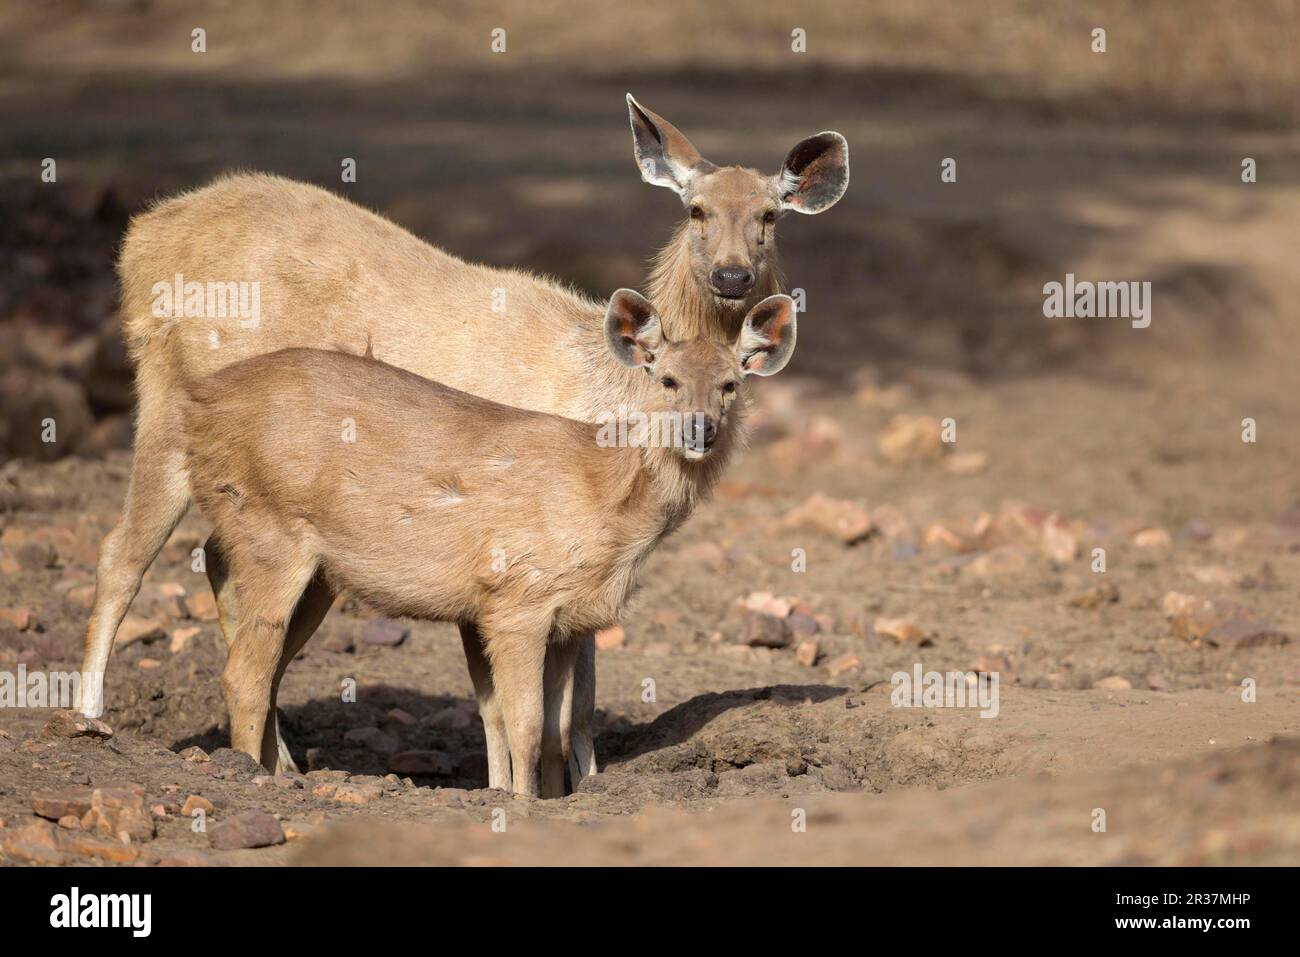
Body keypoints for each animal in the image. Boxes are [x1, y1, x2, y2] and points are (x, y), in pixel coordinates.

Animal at [179, 289, 795, 790]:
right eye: (666, 379)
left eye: (731, 384)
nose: (700, 428)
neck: (605, 498)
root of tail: (199, 404)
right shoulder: (516, 598)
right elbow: (524, 723)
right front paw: (521, 803)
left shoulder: (566, 616)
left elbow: (554, 726)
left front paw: (548, 796)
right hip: (270, 529)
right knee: (244, 671)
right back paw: (252, 775)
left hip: (315, 569)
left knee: (259, 652)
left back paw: (281, 769)